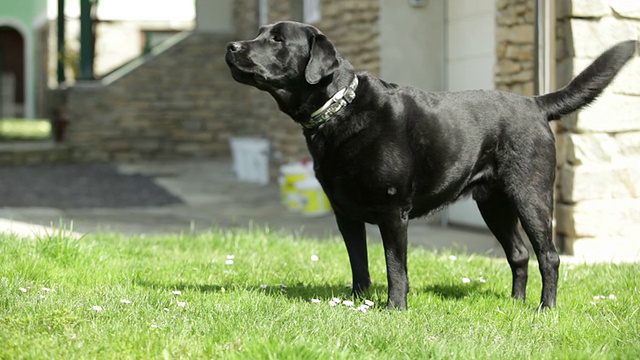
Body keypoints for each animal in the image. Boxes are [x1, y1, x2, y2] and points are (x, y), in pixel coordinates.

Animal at [228, 20, 636, 310]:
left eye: (277, 40)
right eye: (260, 33)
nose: (232, 47)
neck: (339, 108)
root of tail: (535, 103)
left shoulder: (393, 211)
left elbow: (395, 267)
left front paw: (394, 308)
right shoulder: (345, 214)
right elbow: (359, 263)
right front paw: (358, 302)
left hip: (530, 195)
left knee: (548, 255)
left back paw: (544, 309)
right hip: (492, 203)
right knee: (519, 254)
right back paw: (514, 304)